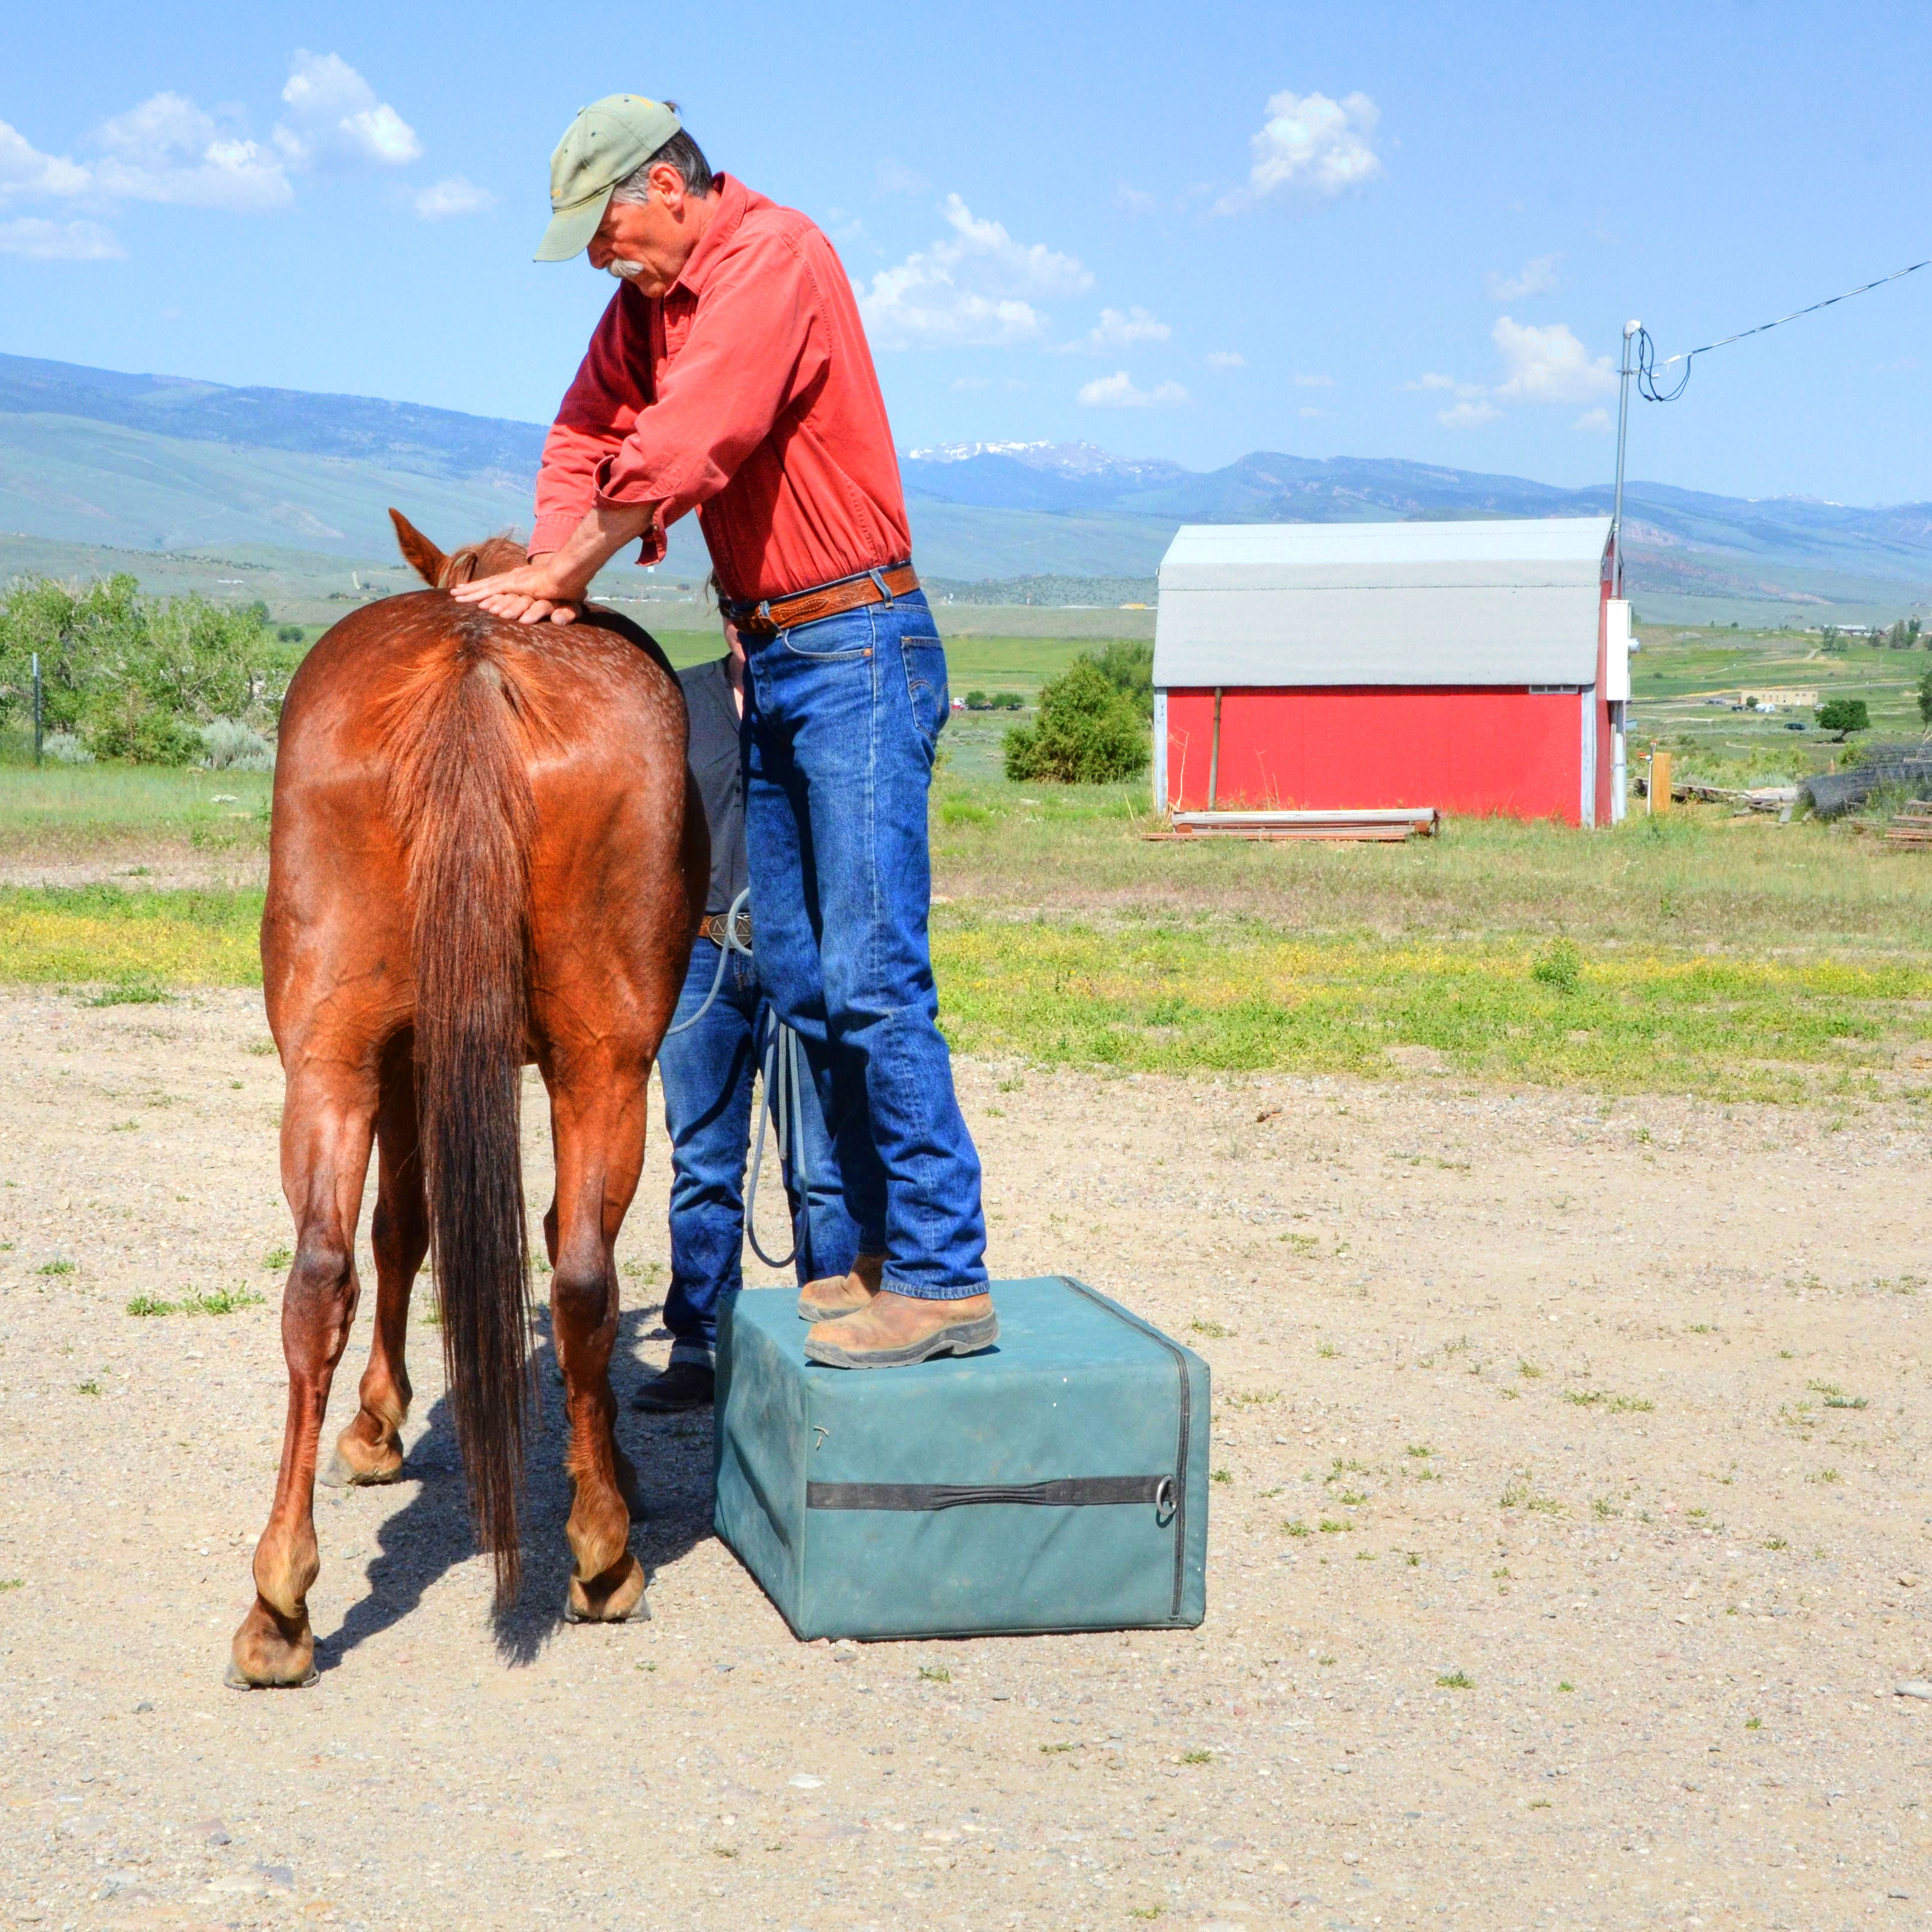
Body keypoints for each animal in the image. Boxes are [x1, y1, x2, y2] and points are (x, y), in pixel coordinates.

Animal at [228, 514, 703, 1692]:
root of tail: (473, 660)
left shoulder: (406, 1060)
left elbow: (400, 1232)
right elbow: (418, 1230)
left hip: (342, 1056)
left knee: (324, 1276)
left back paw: (283, 1602)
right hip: (591, 1063)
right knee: (571, 1274)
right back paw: (598, 1552)